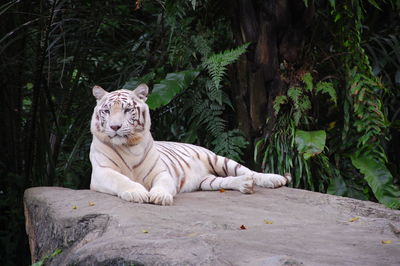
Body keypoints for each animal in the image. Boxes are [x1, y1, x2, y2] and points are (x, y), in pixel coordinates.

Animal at [90, 84, 290, 205]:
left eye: (127, 110)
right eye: (107, 111)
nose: (115, 127)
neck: (129, 146)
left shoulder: (161, 172)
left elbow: (162, 183)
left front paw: (160, 196)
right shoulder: (102, 172)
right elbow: (121, 179)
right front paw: (137, 193)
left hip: (219, 160)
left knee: (250, 172)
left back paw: (274, 179)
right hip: (207, 181)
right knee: (226, 181)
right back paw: (245, 185)